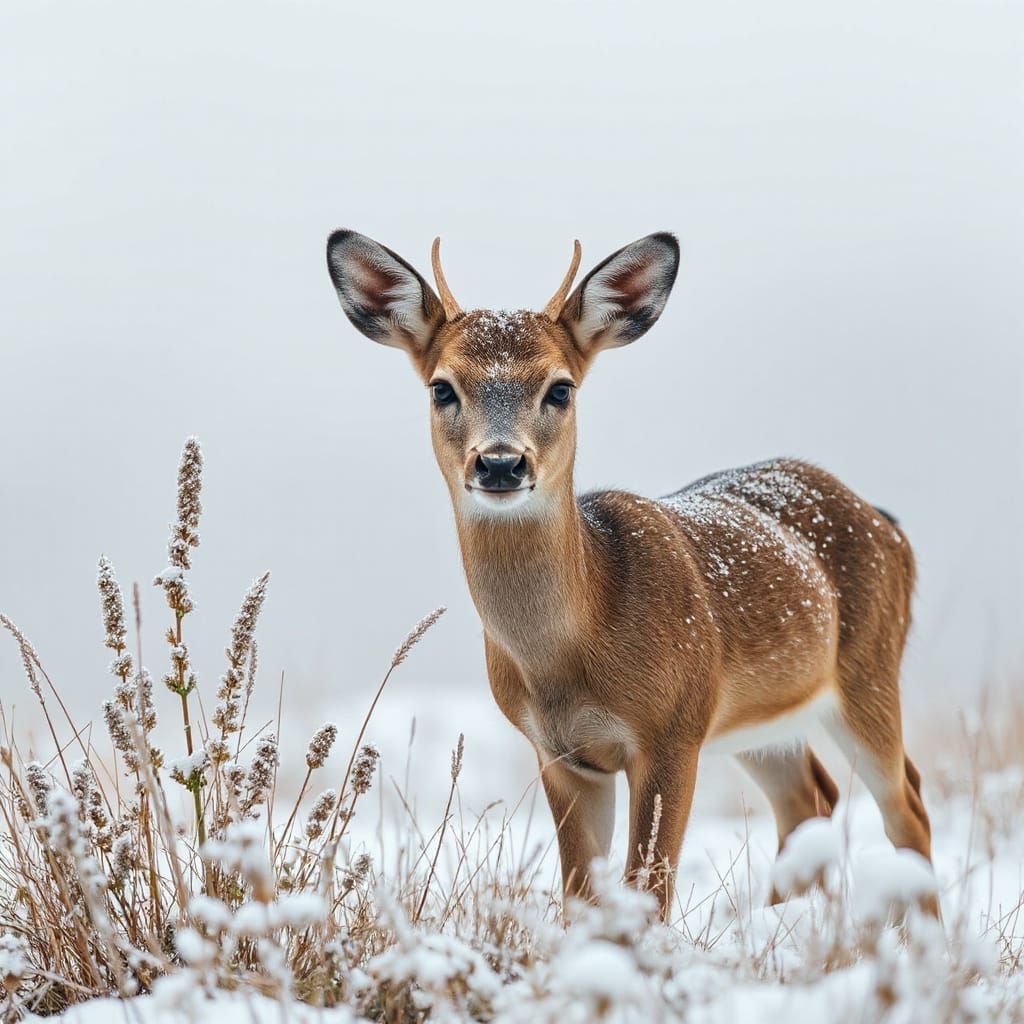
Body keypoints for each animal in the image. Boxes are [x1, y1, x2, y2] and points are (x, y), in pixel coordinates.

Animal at [324, 229, 936, 921]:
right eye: (442, 388)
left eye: (560, 388)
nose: (501, 463)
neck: (576, 651)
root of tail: (887, 523)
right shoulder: (561, 754)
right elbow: (581, 893)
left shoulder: (673, 730)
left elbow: (649, 890)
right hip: (761, 721)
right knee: (811, 799)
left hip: (868, 672)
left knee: (907, 804)